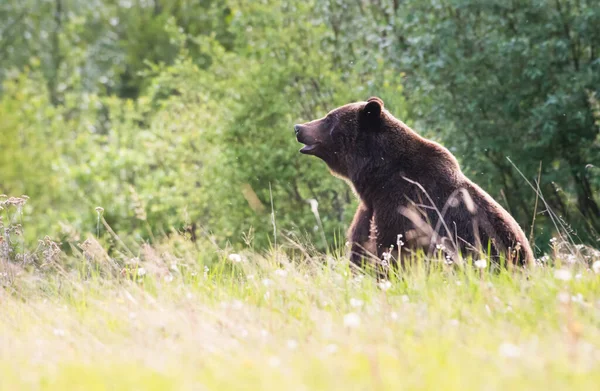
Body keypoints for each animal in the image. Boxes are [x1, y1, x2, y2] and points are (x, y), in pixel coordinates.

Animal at [296, 97, 536, 268]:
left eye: (329, 118)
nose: (298, 127)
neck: (374, 178)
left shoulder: (403, 204)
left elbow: (392, 249)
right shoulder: (370, 209)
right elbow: (361, 247)